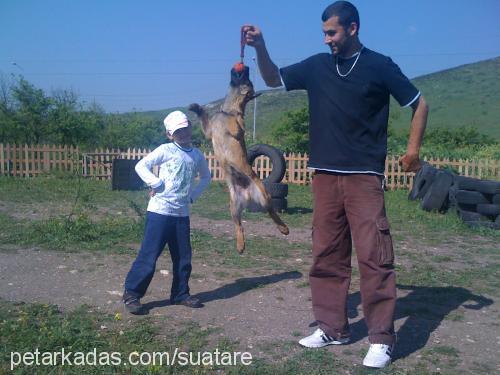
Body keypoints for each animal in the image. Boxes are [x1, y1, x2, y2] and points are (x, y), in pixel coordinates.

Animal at [188, 64, 290, 254]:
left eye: (247, 80)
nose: (246, 67)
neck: (226, 110)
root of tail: (248, 194)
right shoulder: (209, 132)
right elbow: (204, 116)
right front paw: (196, 107)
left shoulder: (237, 129)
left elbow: (238, 122)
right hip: (234, 207)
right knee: (239, 226)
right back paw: (240, 245)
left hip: (265, 197)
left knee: (272, 212)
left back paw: (283, 228)